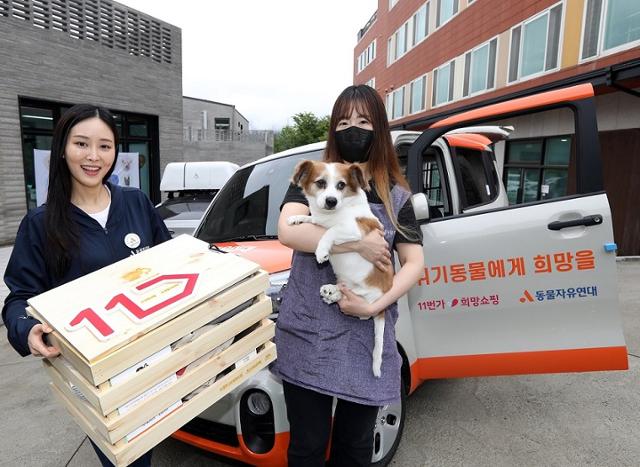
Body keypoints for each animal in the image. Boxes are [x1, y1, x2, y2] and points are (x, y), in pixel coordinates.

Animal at [288, 160, 390, 376]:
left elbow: (331, 231)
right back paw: (331, 291)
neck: (335, 212)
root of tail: (383, 306)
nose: (331, 201)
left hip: (367, 299)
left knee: (361, 309)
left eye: (341, 185)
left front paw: (321, 250)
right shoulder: (320, 220)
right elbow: (313, 219)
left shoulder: (353, 230)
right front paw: (298, 218)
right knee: (343, 290)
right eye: (320, 183)